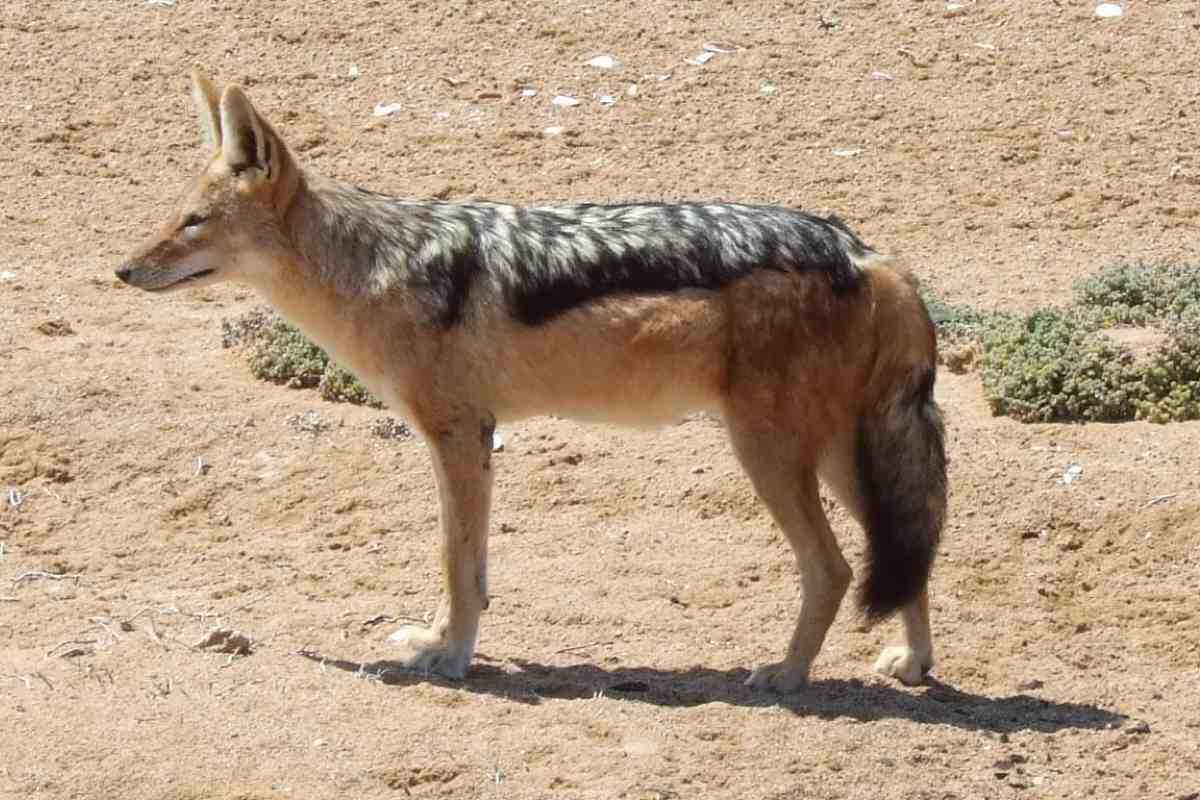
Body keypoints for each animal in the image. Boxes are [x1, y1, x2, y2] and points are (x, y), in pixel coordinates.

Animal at [116, 71, 947, 692]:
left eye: (192, 223)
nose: (122, 270)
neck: (378, 269)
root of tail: (866, 252)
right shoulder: (470, 438)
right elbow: (471, 565)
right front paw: (443, 643)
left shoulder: (458, 434)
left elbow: (456, 561)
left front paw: (449, 658)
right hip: (834, 457)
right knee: (906, 549)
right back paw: (912, 664)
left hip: (771, 456)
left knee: (836, 568)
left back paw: (786, 674)